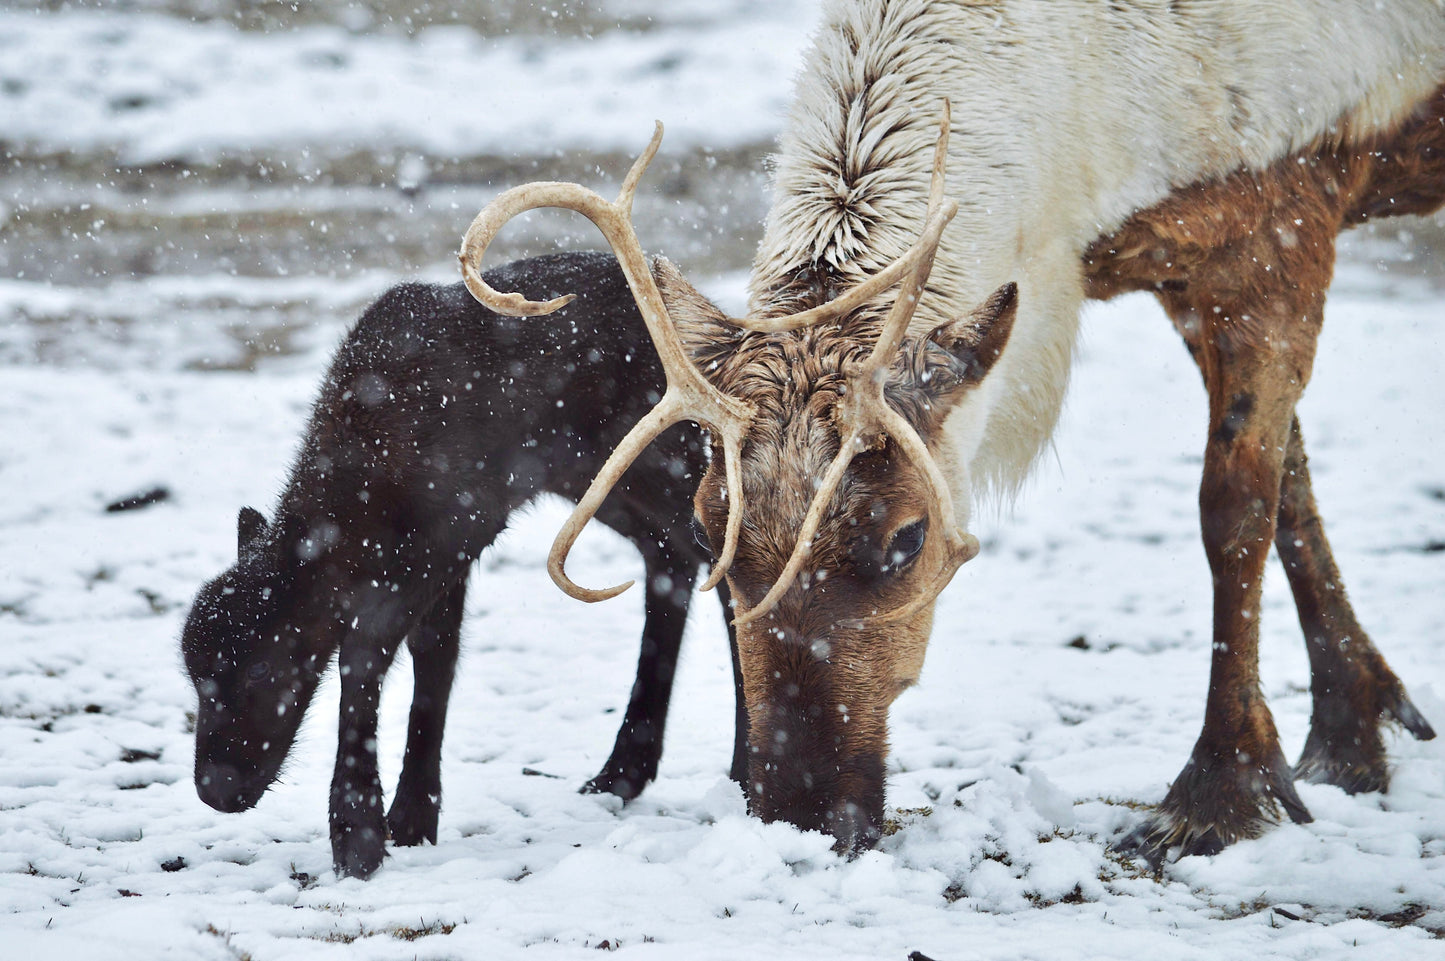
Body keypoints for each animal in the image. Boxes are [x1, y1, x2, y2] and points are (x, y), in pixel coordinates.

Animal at [182, 251, 745, 878]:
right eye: (193, 673)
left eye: (262, 667)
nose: (214, 790)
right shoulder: (442, 549)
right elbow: (436, 658)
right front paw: (409, 818)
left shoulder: (461, 526)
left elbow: (369, 651)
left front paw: (360, 833)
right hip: (600, 479)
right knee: (670, 559)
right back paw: (624, 771)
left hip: (666, 454)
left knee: (729, 555)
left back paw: (746, 768)